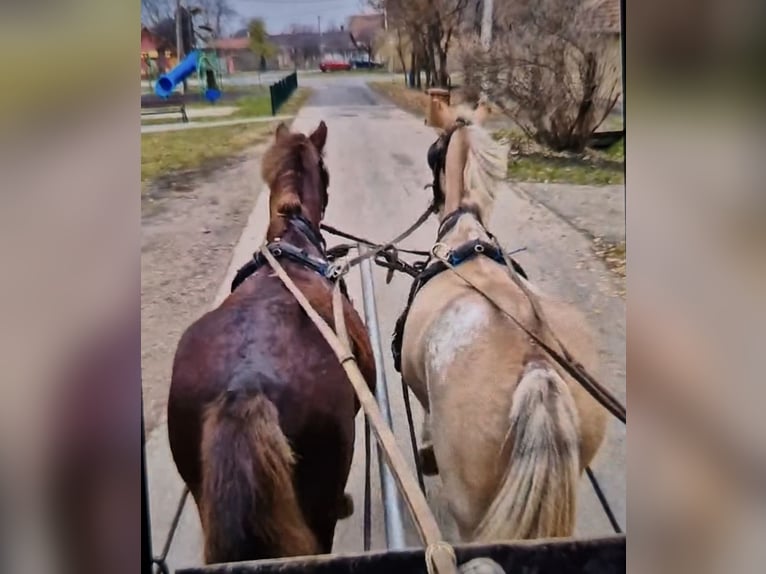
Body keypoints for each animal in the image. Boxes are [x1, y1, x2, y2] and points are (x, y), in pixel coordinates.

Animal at [396, 102, 608, 544]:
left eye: (434, 152)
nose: (434, 199)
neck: (465, 238)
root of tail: (538, 368)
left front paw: (426, 450)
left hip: (470, 511)